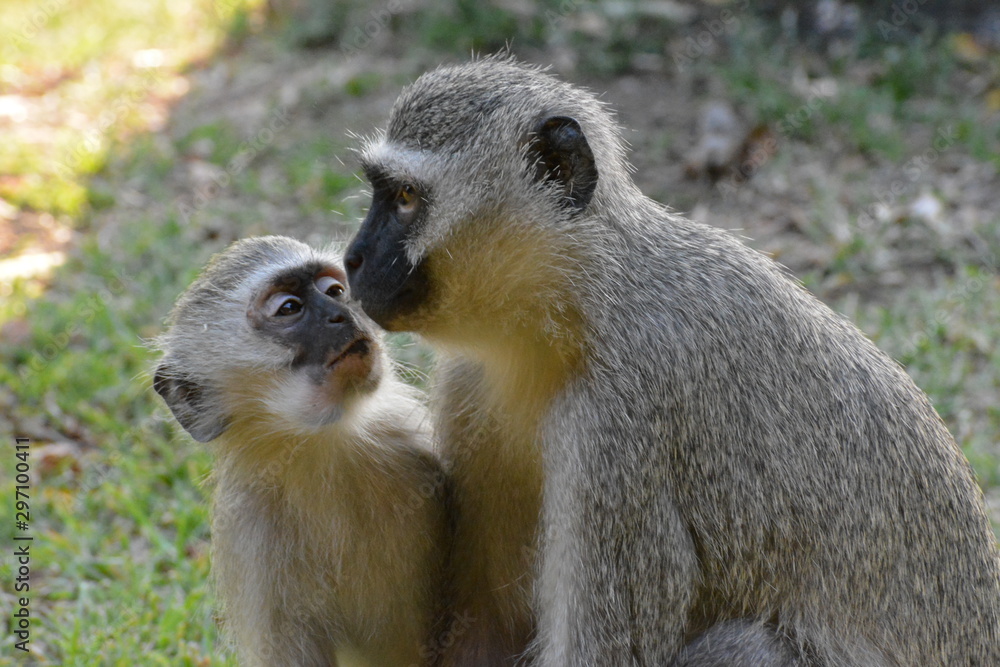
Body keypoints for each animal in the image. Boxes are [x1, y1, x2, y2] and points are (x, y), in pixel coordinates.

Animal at [342, 56, 1000, 666]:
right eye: (384, 192)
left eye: (405, 199)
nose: (351, 260)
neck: (580, 308)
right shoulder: (471, 385)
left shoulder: (619, 432)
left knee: (748, 647)